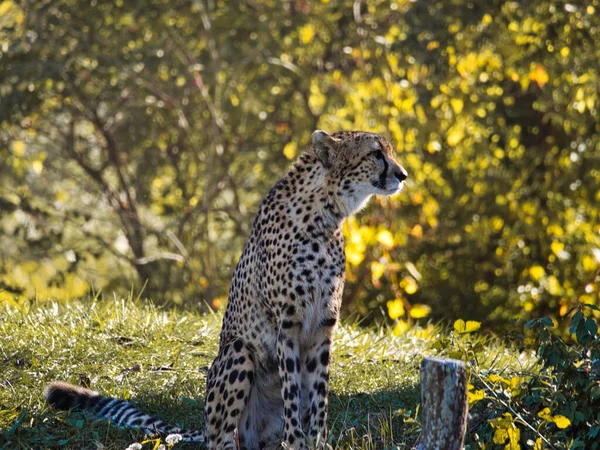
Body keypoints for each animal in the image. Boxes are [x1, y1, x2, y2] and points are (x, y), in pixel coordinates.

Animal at [47, 130, 408, 450]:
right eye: (376, 153)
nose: (403, 175)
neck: (326, 215)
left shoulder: (323, 326)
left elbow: (318, 396)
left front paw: (316, 442)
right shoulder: (287, 324)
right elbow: (293, 394)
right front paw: (296, 442)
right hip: (238, 353)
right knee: (221, 438)